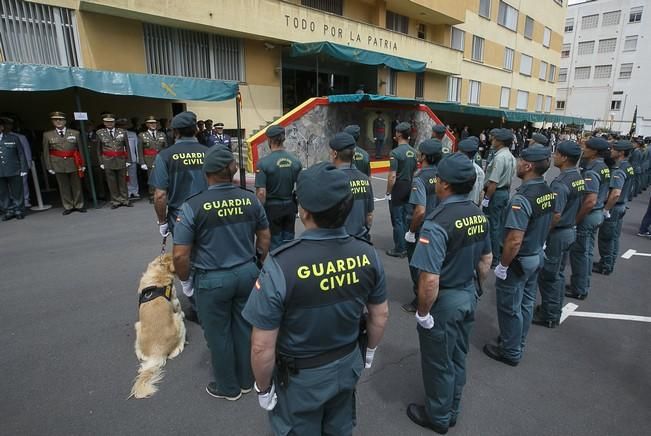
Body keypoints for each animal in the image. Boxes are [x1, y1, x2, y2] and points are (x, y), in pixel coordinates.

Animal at [130, 252, 186, 398]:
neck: (159, 269)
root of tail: (157, 352)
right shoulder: (174, 299)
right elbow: (179, 307)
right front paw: (184, 313)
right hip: (178, 322)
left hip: (137, 326)